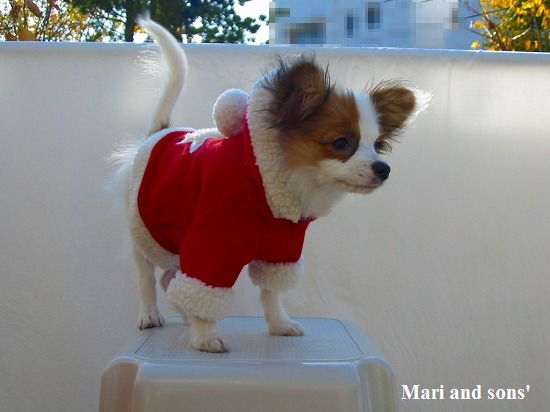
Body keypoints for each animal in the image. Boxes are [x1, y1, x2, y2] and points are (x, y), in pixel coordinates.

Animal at [114, 17, 428, 353]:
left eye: (378, 146)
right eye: (341, 143)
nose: (383, 169)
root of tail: (161, 133)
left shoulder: (282, 248)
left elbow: (271, 292)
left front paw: (278, 324)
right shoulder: (212, 240)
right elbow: (205, 284)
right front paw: (205, 336)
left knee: (170, 279)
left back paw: (184, 316)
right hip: (146, 226)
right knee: (147, 277)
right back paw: (150, 315)